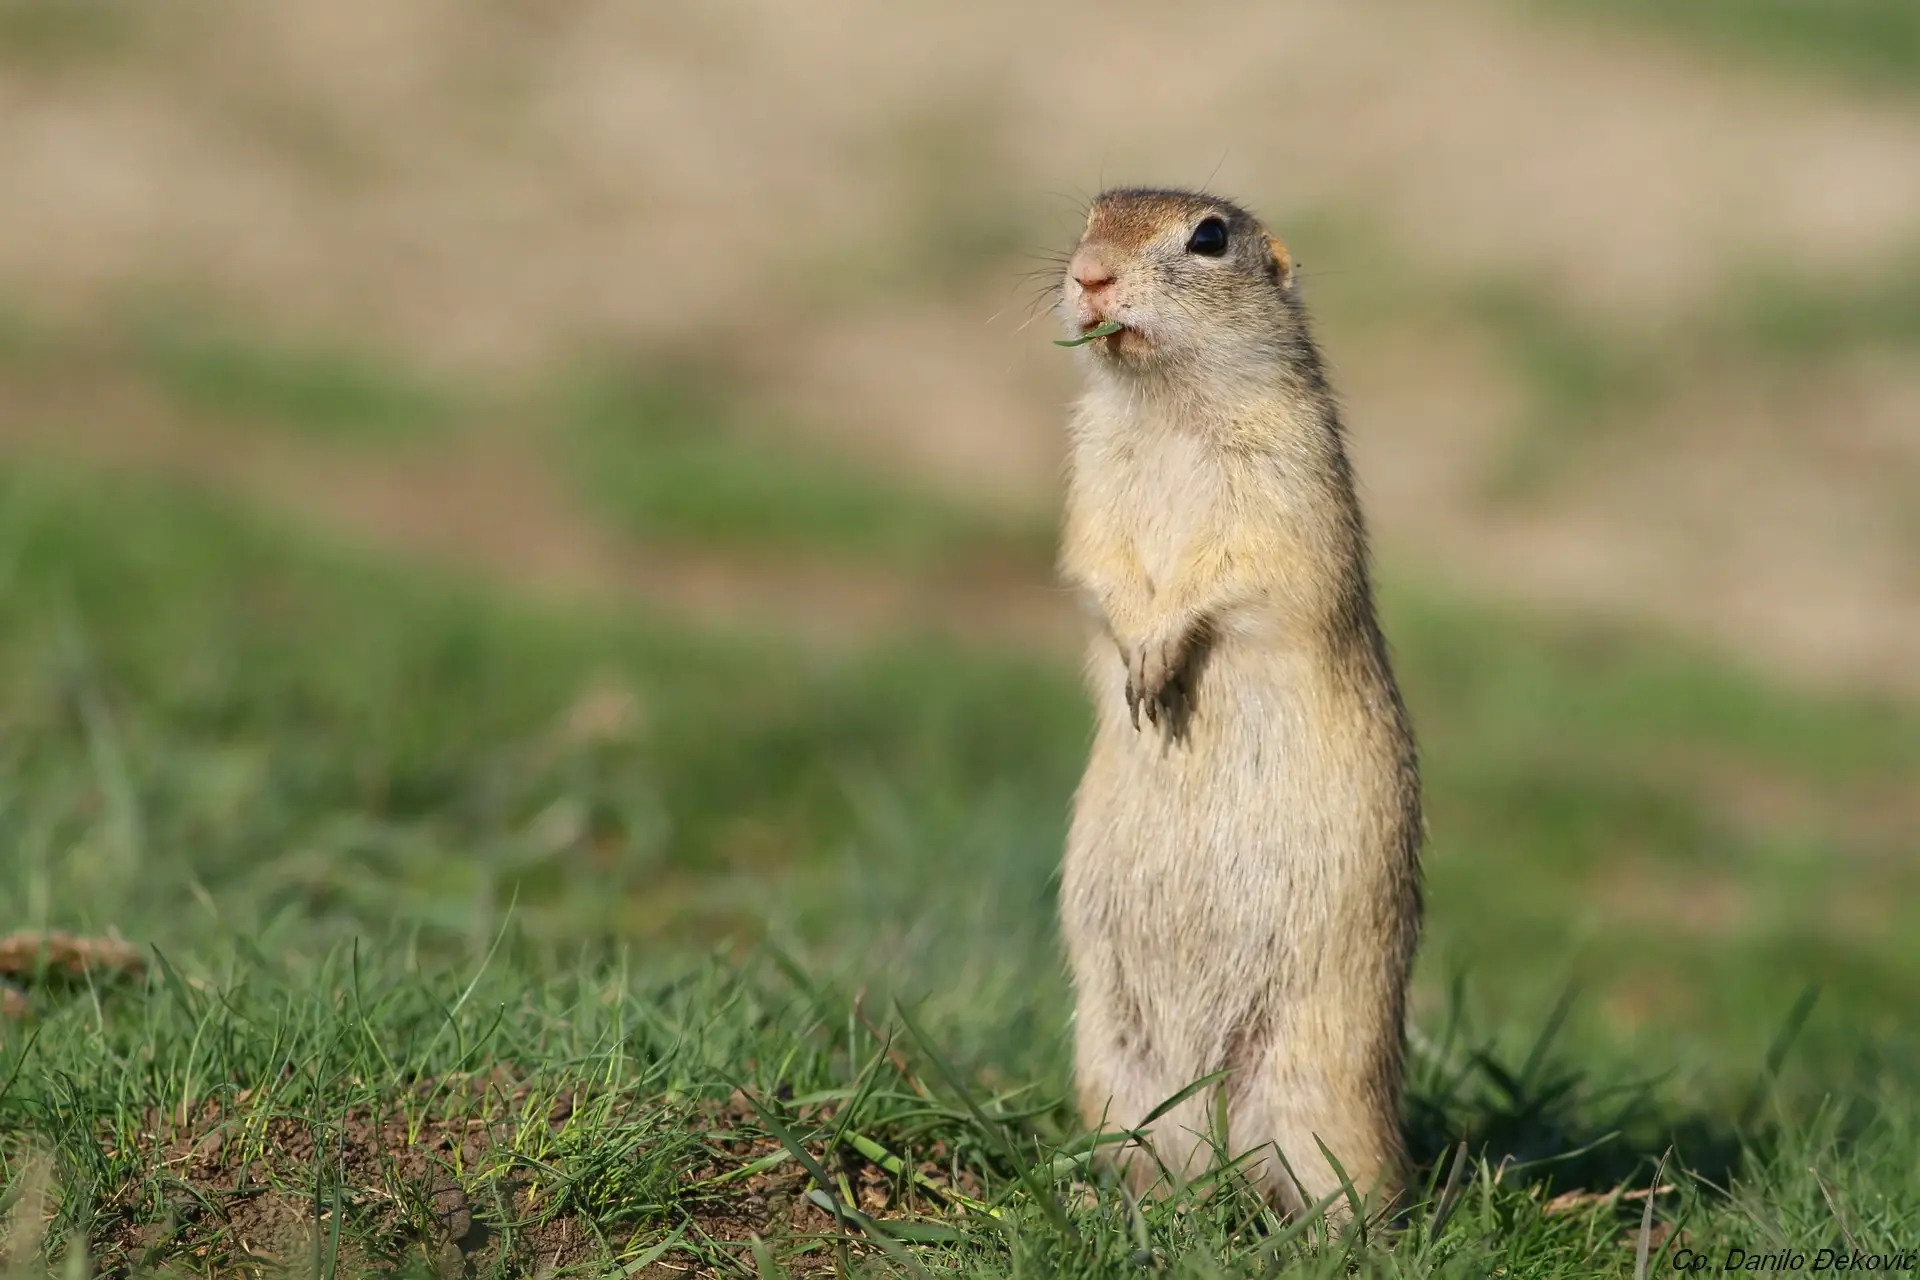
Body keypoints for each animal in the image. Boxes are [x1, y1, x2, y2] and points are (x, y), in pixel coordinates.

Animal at [1052, 185, 1428, 1220]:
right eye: (1090, 216)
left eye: (1209, 238)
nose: (1089, 275)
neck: (1166, 406)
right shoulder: (1090, 481)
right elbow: (1097, 566)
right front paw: (1138, 656)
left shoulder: (1283, 482)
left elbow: (1243, 571)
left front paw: (1161, 652)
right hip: (1118, 1074)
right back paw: (1115, 1200)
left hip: (1320, 1093)